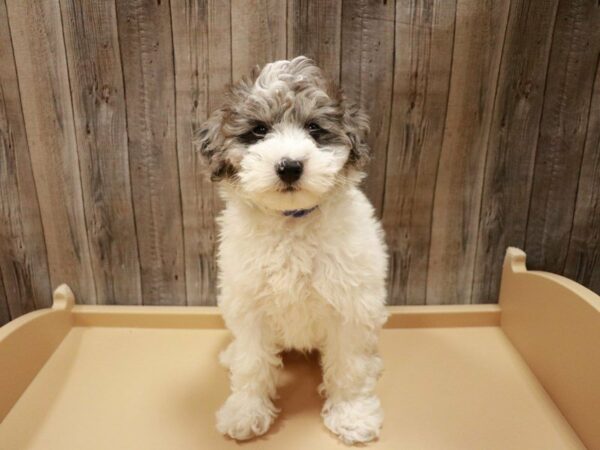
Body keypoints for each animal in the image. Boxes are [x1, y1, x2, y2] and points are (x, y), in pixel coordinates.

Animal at [195, 55, 386, 442]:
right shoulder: (249, 305)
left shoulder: (351, 307)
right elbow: (252, 364)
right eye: (258, 131)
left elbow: (350, 366)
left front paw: (353, 414)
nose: (290, 166)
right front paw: (245, 411)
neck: (292, 222)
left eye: (314, 128)